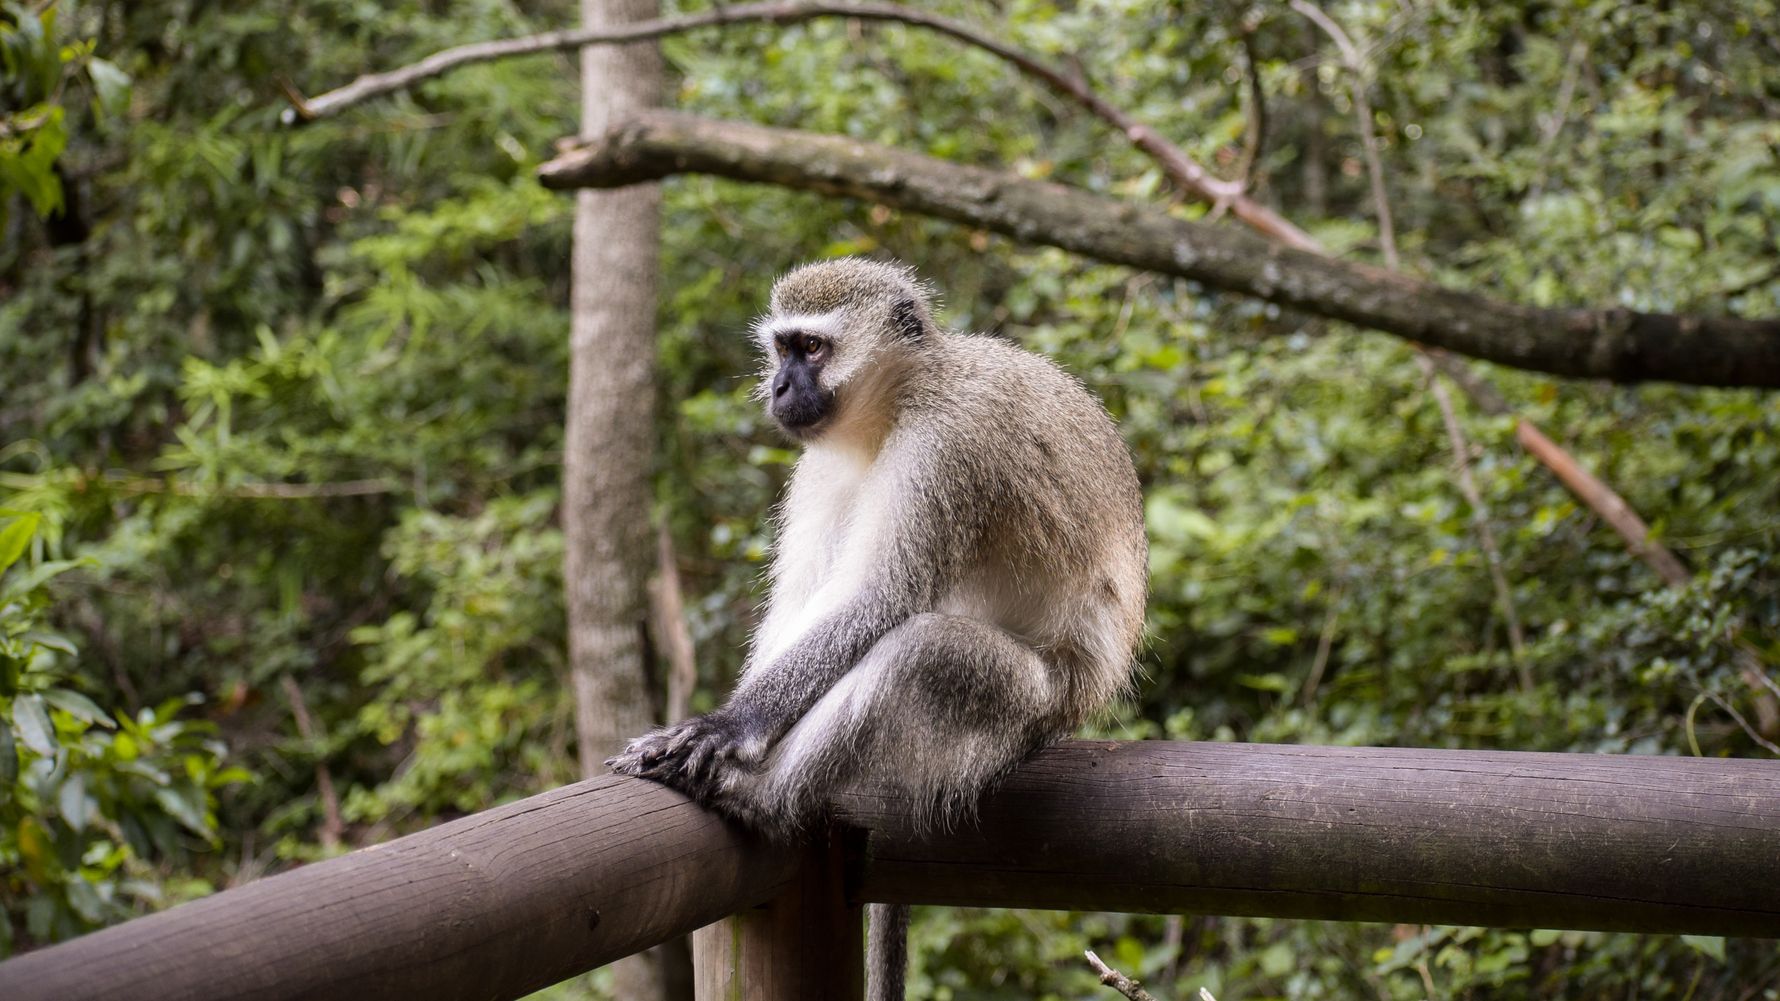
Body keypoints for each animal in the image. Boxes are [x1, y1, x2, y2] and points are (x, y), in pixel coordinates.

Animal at [608, 257, 1147, 1001]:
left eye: (811, 349)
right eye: (782, 348)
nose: (777, 387)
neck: (894, 406)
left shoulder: (944, 446)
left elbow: (881, 597)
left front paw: (725, 726)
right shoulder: (820, 463)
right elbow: (803, 601)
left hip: (1040, 701)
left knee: (922, 650)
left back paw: (763, 796)